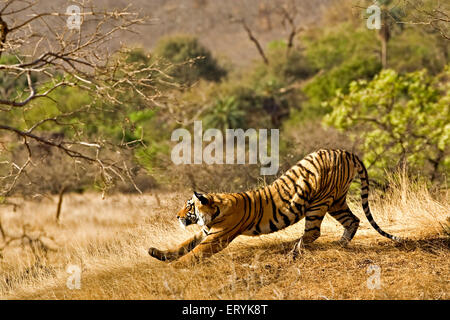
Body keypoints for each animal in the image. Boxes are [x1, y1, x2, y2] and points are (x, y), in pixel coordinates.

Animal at [149, 149, 400, 266]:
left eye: (188, 206)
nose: (177, 216)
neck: (215, 209)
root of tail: (345, 152)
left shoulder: (216, 237)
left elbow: (193, 253)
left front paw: (173, 268)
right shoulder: (206, 231)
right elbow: (182, 245)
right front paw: (157, 253)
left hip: (319, 202)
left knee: (313, 232)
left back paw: (294, 251)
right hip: (336, 201)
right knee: (353, 220)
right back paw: (341, 244)